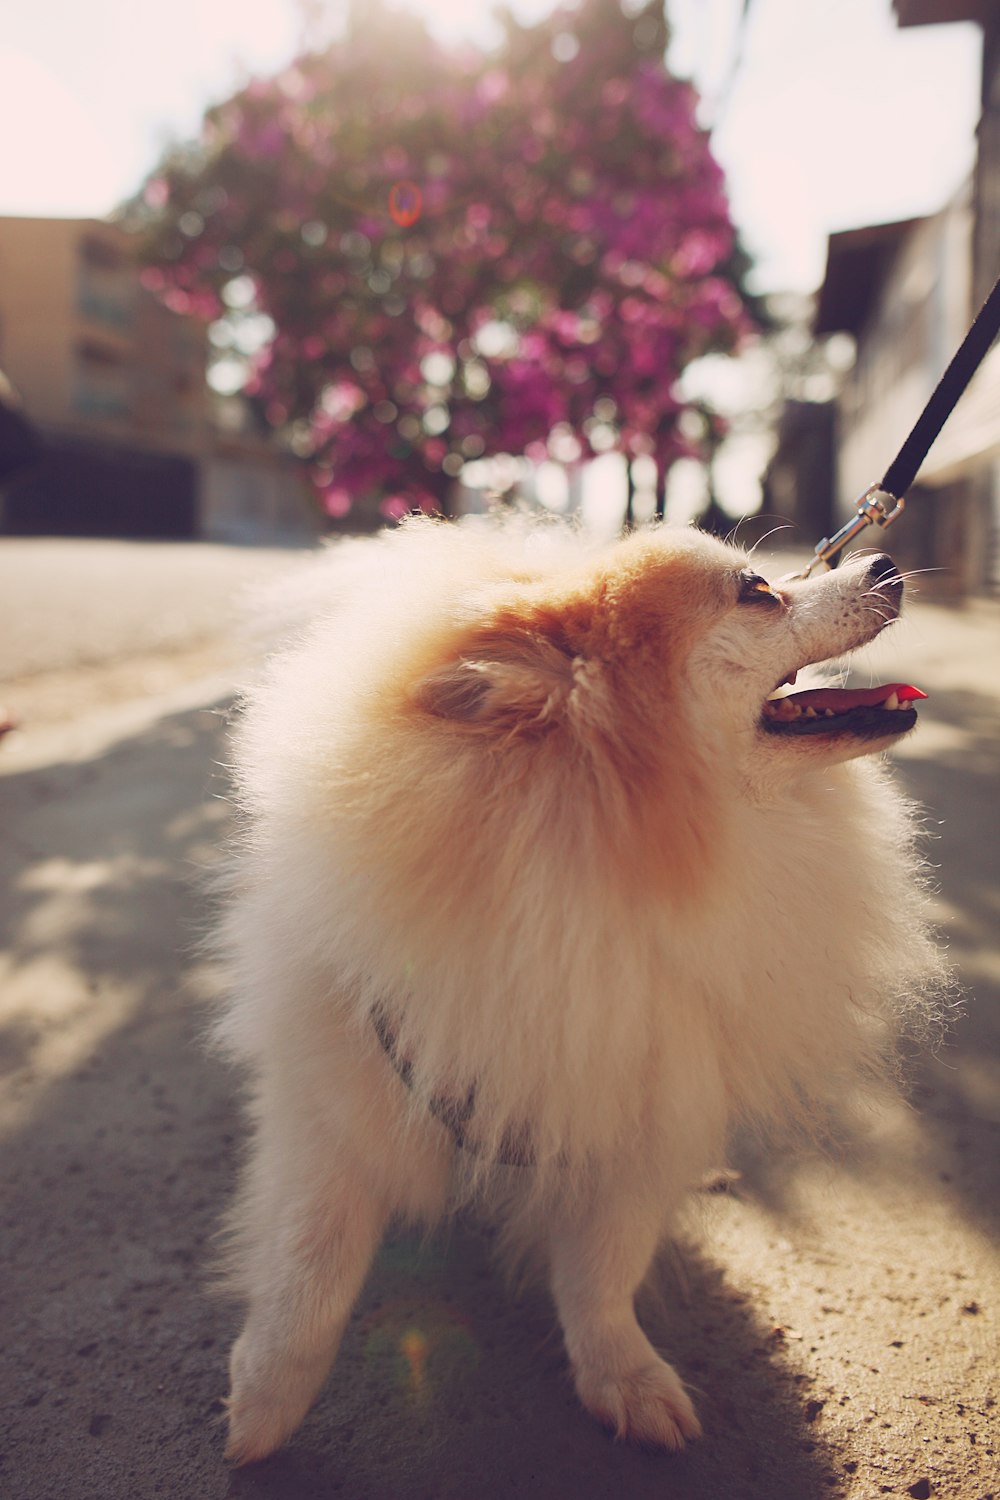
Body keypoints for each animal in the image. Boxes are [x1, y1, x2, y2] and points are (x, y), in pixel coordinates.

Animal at [215, 519, 953, 1464]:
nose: (885, 562)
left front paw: (623, 1377)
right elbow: (311, 1266)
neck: (596, 864)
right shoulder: (343, 1093)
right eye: (756, 590)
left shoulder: (634, 1098)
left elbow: (603, 1271)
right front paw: (266, 1402)